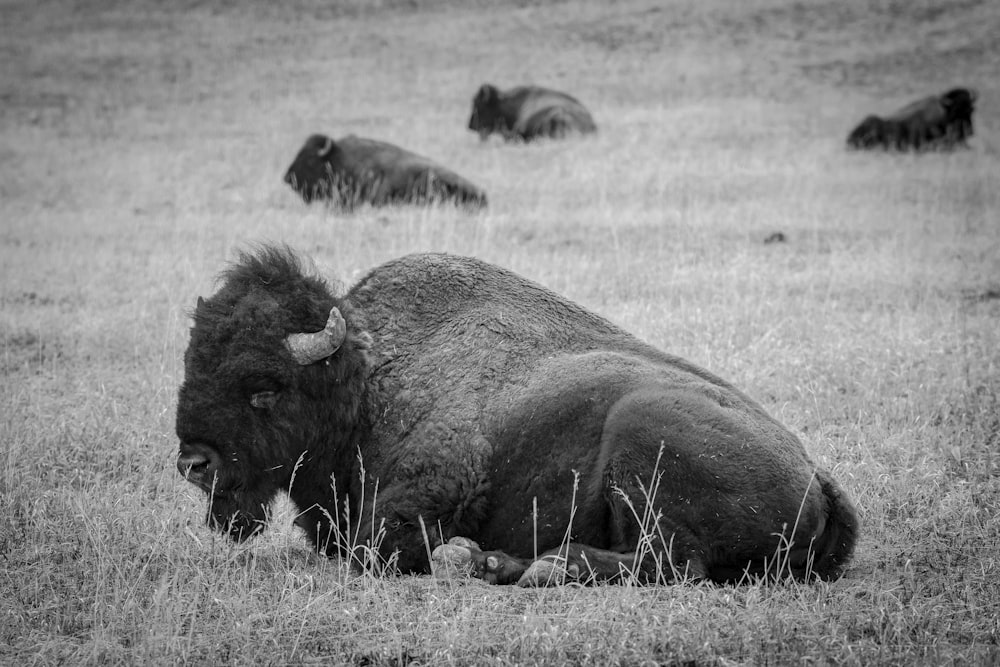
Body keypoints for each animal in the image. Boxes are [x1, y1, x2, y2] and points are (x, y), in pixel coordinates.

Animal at [176, 248, 856, 588]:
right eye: (191, 363)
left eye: (264, 390)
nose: (193, 463)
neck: (370, 377)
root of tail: (819, 478)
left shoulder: (429, 492)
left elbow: (385, 543)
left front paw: (459, 554)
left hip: (642, 437)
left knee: (673, 564)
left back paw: (523, 565)